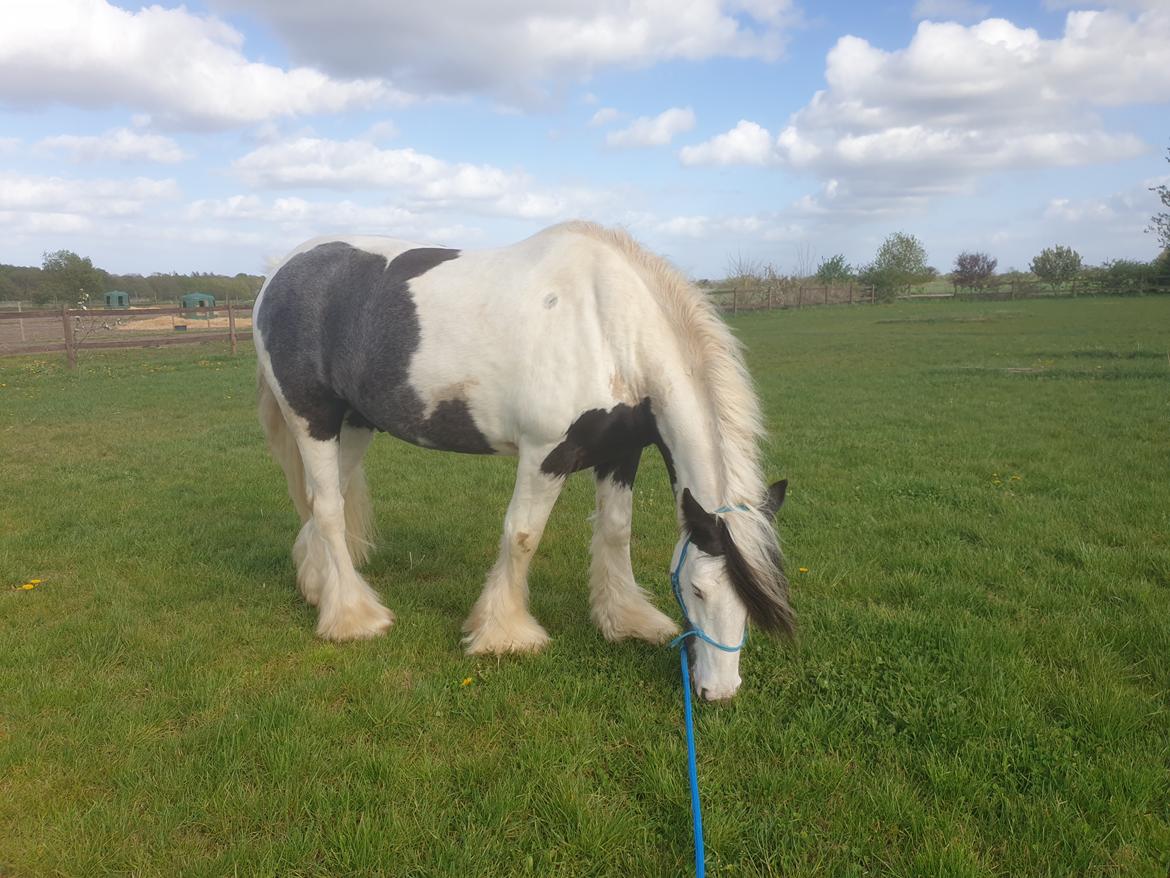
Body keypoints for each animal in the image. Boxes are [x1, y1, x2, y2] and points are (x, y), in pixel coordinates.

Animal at [251, 223, 790, 707]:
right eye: (698, 590)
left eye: (753, 601)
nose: (719, 692)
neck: (608, 327)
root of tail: (279, 271)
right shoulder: (546, 452)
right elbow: (523, 536)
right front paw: (505, 634)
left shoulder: (621, 452)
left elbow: (616, 531)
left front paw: (626, 620)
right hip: (312, 419)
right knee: (327, 510)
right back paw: (354, 618)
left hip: (356, 423)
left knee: (327, 503)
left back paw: (318, 588)